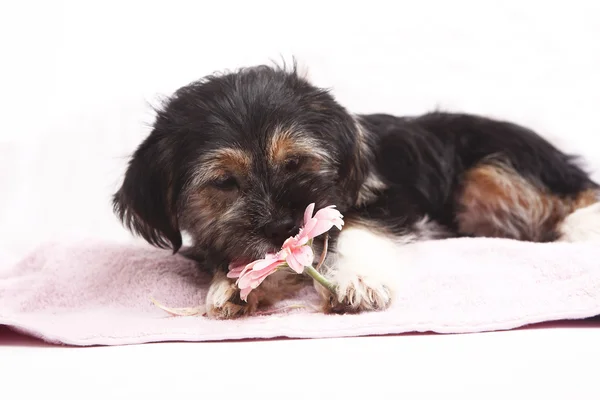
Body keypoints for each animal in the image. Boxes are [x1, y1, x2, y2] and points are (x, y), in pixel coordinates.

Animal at [112, 63, 600, 318]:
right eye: (224, 183)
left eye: (295, 163)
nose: (283, 229)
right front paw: (233, 284)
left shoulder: (384, 200)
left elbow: (361, 230)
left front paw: (357, 281)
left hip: (492, 173)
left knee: (566, 199)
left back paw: (582, 226)